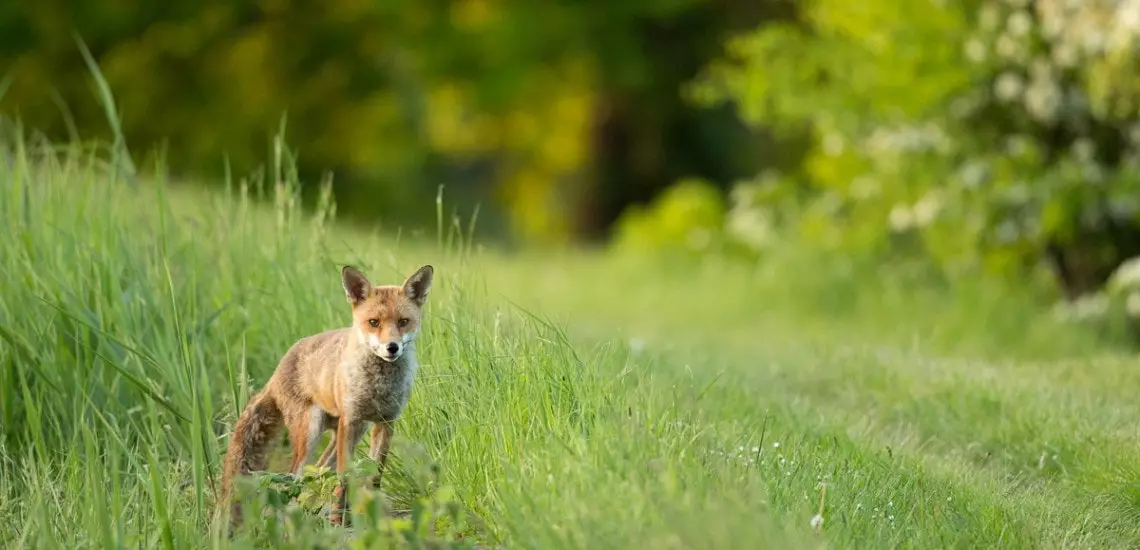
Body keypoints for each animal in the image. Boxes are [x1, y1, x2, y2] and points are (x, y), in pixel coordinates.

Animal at [218, 264, 435, 527]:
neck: (380, 387)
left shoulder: (386, 422)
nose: (392, 347)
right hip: (311, 432)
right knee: (294, 476)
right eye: (373, 322)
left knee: (319, 469)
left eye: (403, 322)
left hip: (347, 431)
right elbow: (345, 475)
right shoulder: (350, 420)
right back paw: (295, 516)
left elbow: (375, 475)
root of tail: (277, 370)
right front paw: (337, 517)